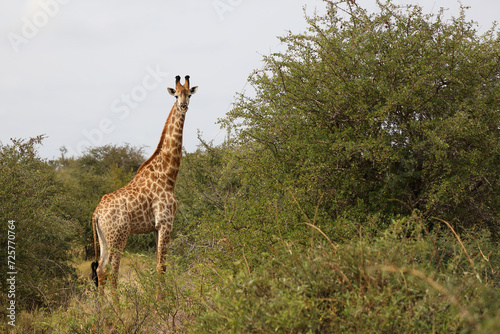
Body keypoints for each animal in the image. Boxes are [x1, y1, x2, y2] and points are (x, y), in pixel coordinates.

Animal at [92, 75, 197, 298]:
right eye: (176, 95)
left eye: (189, 94)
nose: (183, 106)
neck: (168, 174)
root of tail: (96, 213)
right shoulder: (166, 222)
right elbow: (161, 265)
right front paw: (160, 302)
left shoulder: (157, 227)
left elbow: (161, 265)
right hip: (118, 236)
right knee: (113, 271)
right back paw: (116, 307)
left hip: (104, 238)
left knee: (101, 270)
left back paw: (101, 307)